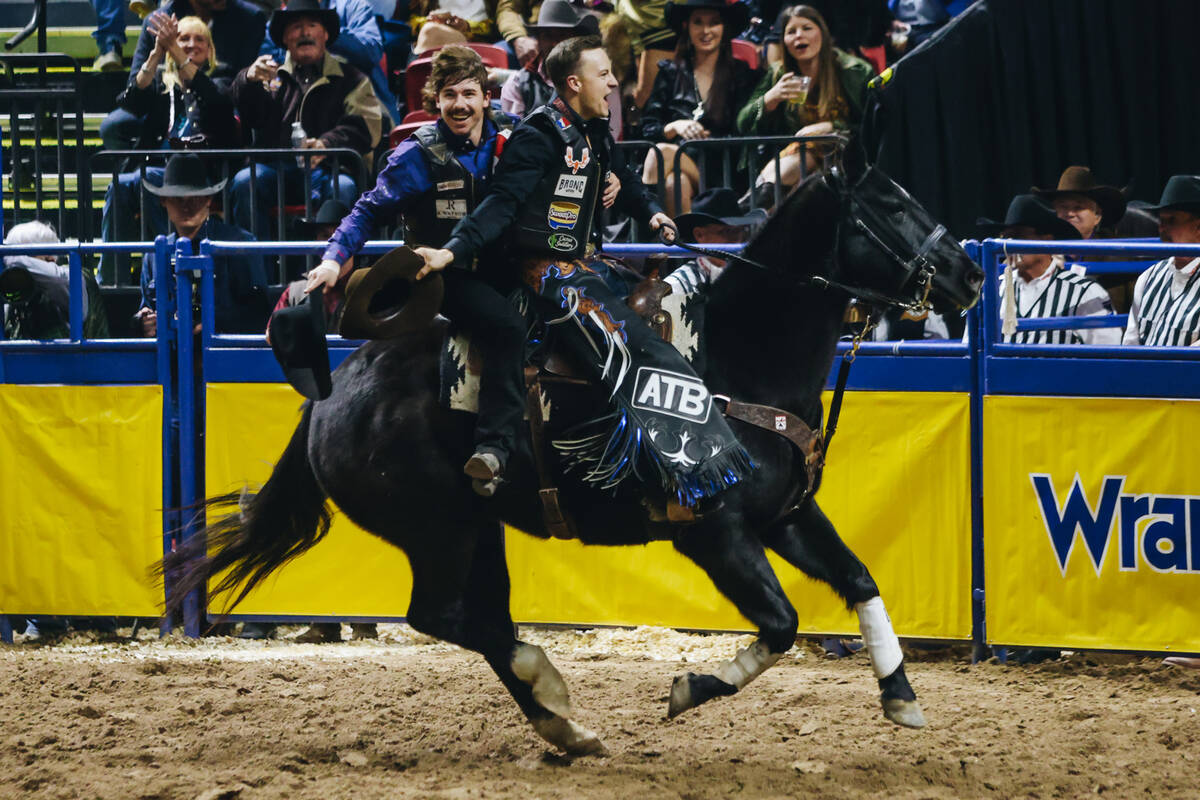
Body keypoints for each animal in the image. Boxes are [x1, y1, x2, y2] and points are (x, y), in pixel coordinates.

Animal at [162, 155, 984, 758]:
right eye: (892, 207)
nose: (970, 273)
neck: (736, 357)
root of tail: (331, 397)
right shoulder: (713, 530)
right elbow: (781, 623)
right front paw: (688, 690)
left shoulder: (785, 515)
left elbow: (859, 578)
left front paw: (901, 695)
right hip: (437, 529)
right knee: (445, 615)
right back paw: (551, 688)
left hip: (478, 529)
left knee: (476, 617)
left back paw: (564, 726)